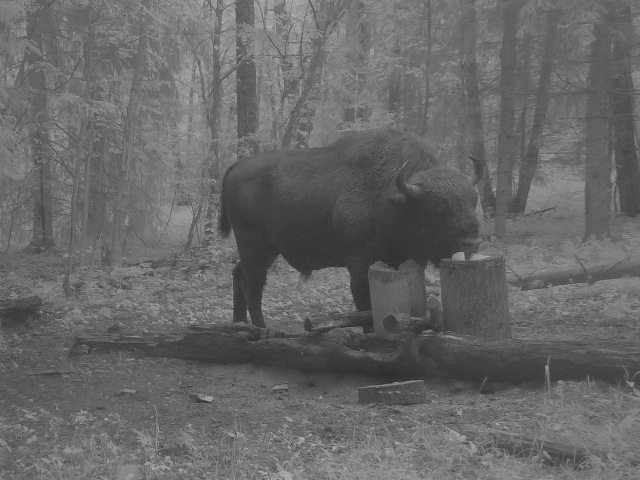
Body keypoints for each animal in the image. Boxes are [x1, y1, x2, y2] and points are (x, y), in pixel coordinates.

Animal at [218, 129, 483, 328]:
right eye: (437, 208)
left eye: (473, 201)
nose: (471, 243)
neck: (395, 198)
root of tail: (237, 166)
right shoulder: (359, 264)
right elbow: (364, 306)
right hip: (254, 245)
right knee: (252, 285)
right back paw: (262, 329)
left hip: (266, 250)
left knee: (239, 275)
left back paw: (240, 324)